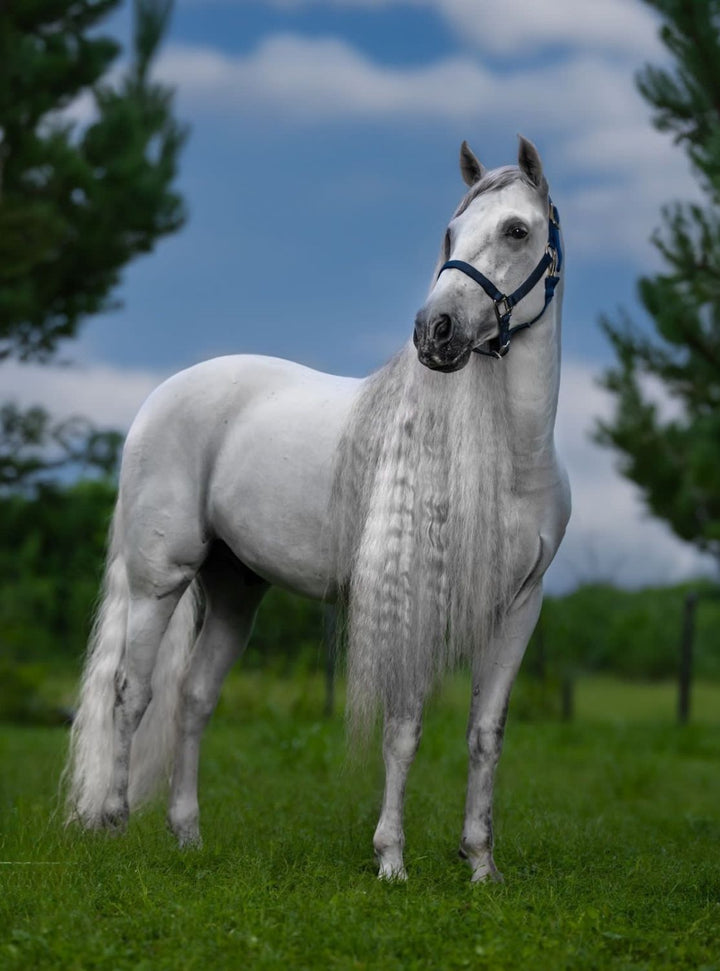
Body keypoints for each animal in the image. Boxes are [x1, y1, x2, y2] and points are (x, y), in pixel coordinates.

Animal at [65, 136, 570, 883]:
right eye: (451, 234)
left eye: (516, 230)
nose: (436, 331)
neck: (508, 462)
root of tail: (164, 395)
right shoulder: (415, 600)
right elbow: (403, 729)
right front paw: (391, 860)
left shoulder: (517, 609)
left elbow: (486, 734)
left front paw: (481, 865)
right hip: (159, 579)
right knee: (131, 692)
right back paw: (113, 823)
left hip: (236, 589)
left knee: (194, 697)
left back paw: (187, 835)